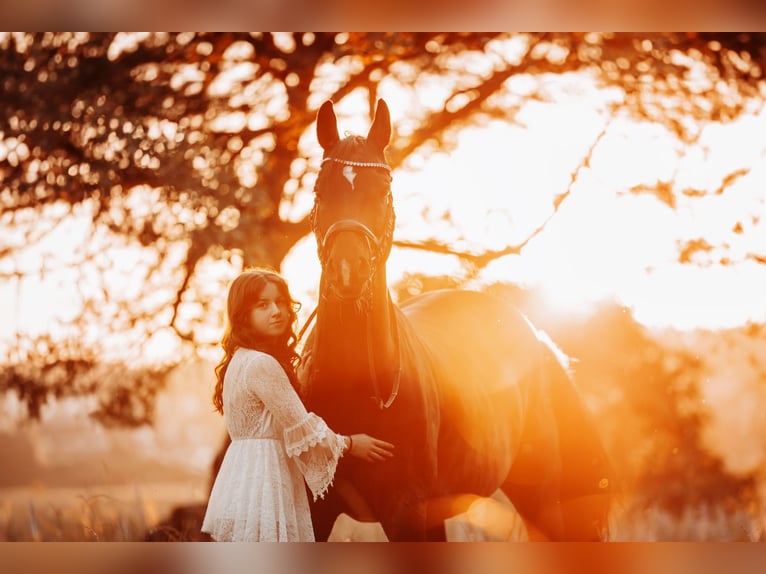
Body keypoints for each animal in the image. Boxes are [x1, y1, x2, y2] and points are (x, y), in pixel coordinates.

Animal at [304, 100, 616, 544]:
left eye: (383, 193)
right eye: (319, 190)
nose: (348, 270)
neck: (354, 384)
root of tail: (535, 335)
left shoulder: (407, 512)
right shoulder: (316, 510)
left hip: (539, 499)